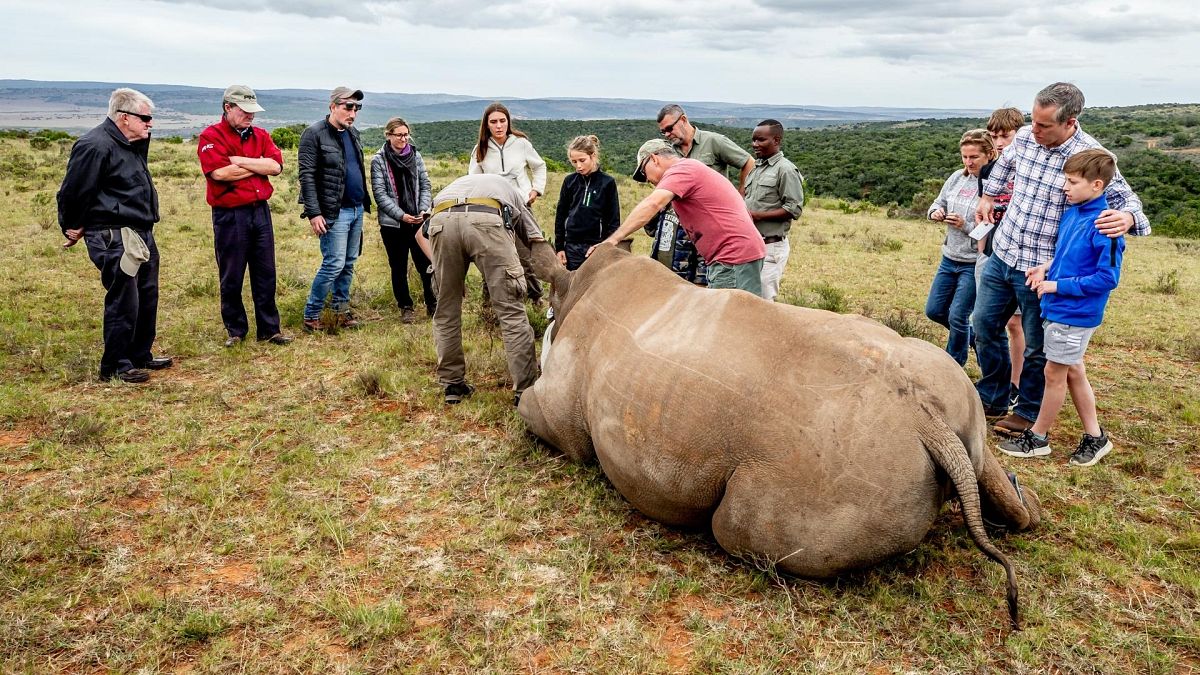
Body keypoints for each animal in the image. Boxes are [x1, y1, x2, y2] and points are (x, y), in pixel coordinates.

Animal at [519, 242, 1042, 628]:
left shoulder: (564, 415)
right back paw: (1022, 504)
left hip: (835, 469)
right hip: (949, 393)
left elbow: (530, 408)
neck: (574, 290)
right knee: (980, 459)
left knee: (736, 529)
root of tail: (924, 421)